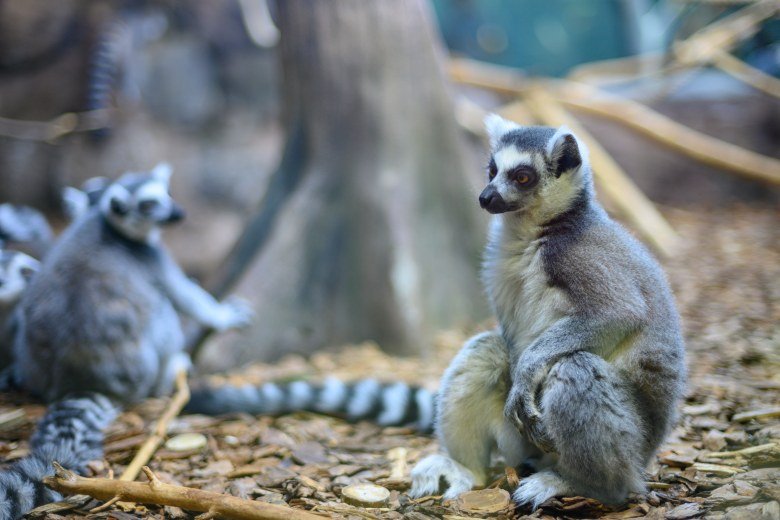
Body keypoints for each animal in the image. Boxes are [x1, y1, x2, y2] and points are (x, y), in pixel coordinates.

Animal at [1, 163, 252, 518]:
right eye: (148, 205)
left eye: (168, 194)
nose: (177, 213)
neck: (106, 225)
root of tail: (81, 378)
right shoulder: (152, 258)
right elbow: (186, 297)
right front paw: (223, 314)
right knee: (162, 310)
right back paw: (174, 366)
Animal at [410, 115, 686, 509]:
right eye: (492, 170)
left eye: (522, 176)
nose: (485, 197)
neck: (536, 232)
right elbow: (507, 341)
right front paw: (517, 372)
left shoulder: (579, 256)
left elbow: (619, 313)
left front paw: (526, 373)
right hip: (520, 441)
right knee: (485, 351)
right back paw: (466, 470)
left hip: (632, 442)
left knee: (576, 367)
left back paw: (583, 484)